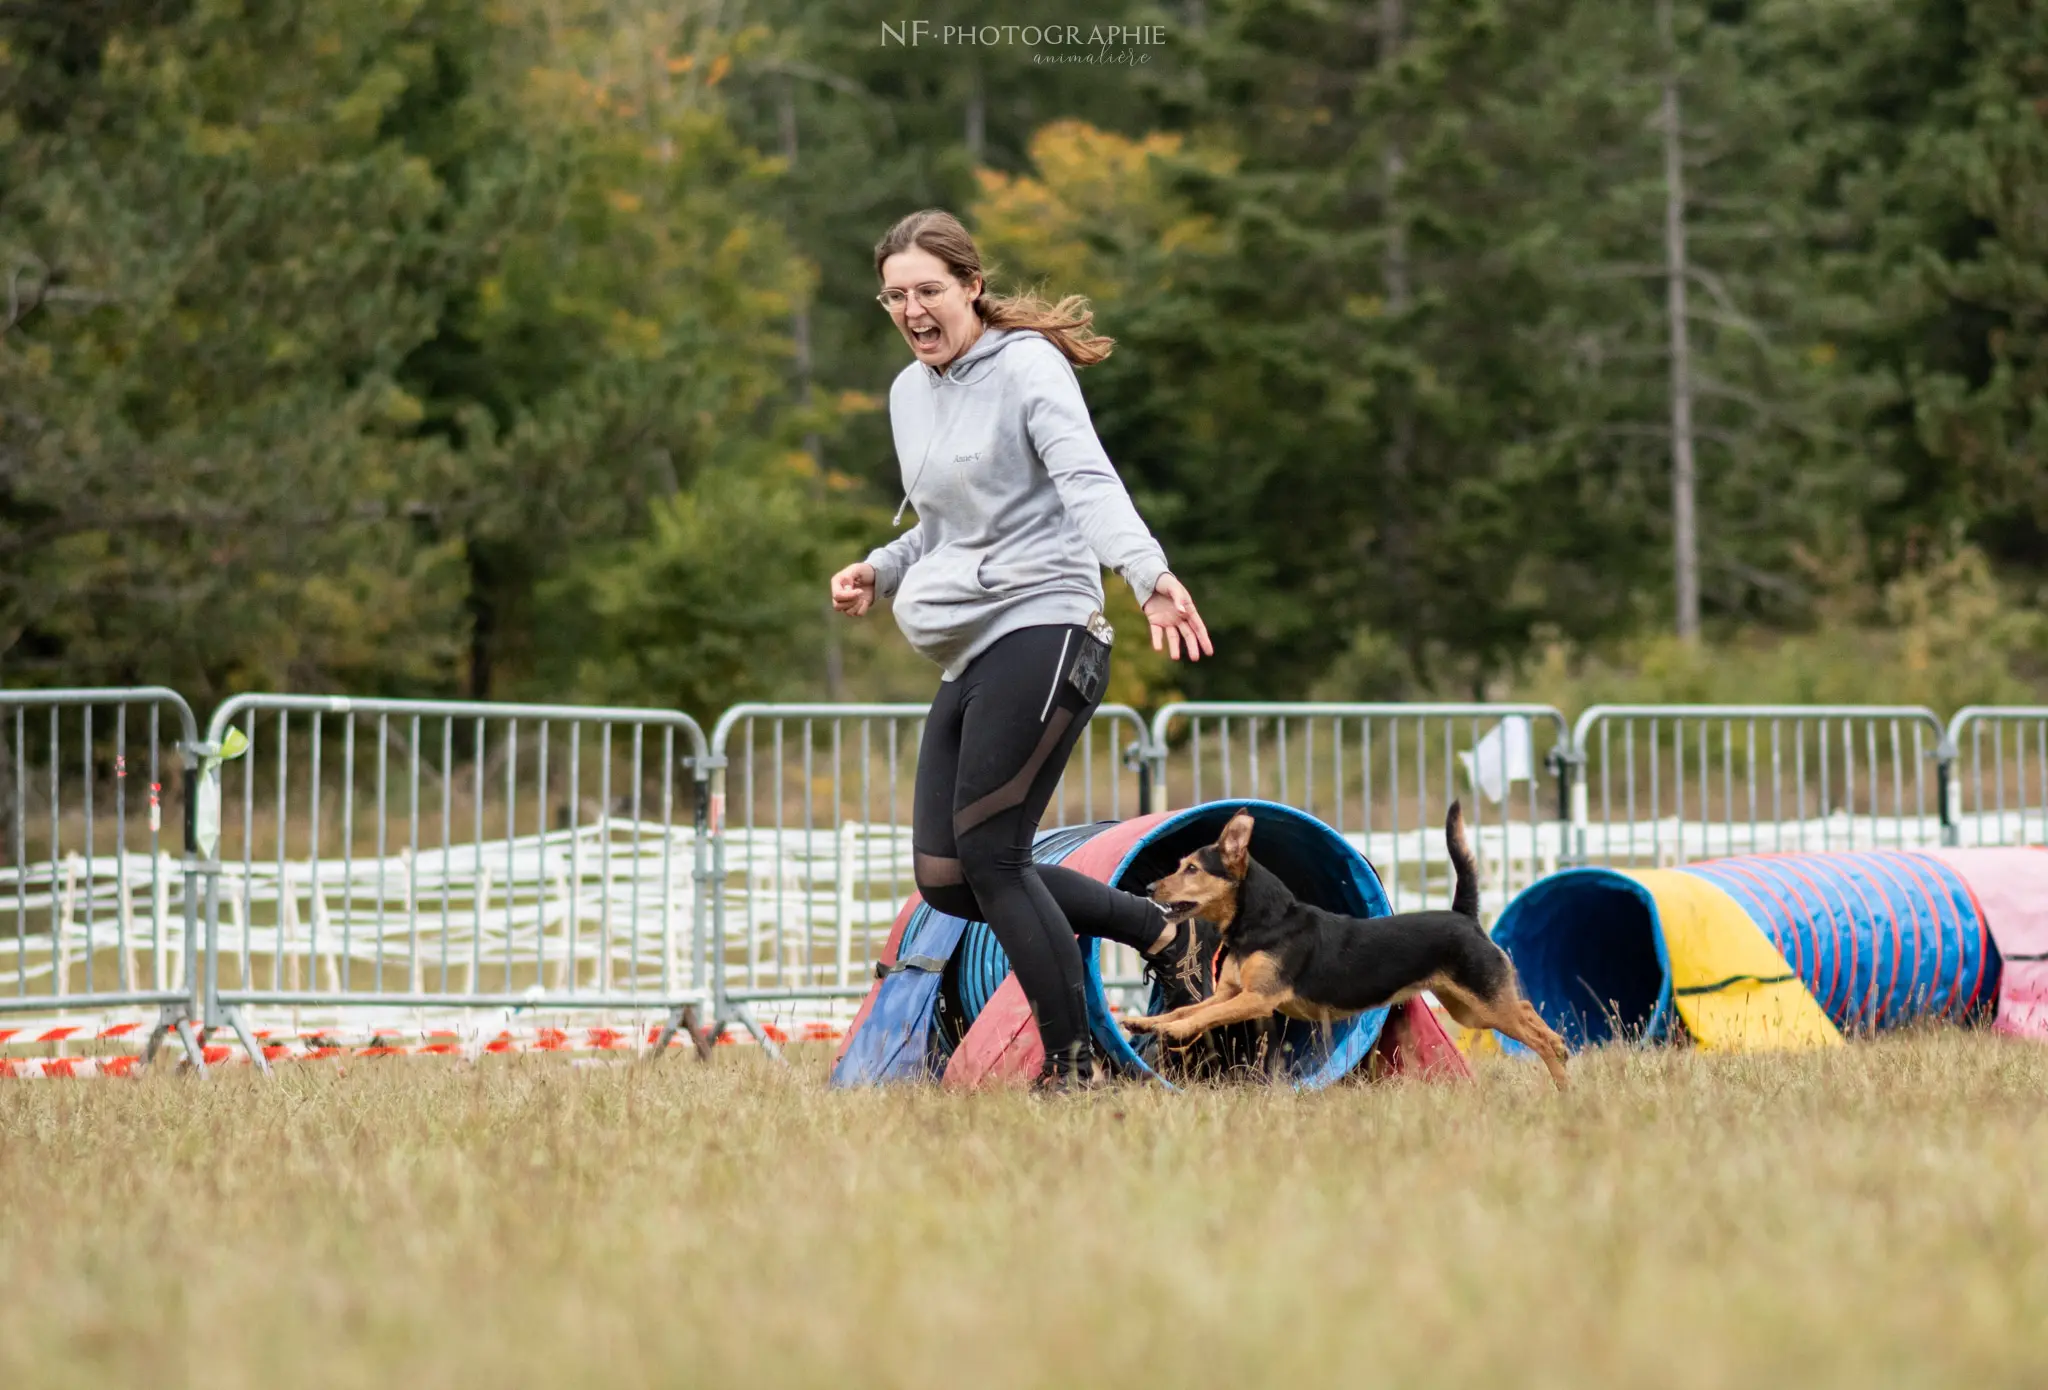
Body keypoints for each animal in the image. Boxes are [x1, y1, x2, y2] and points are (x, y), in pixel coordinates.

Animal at [1130, 806, 1572, 1089]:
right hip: (1470, 1008)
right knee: (1527, 1009)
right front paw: (1147, 1024)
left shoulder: (1259, 998)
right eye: (1178, 865)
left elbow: (1205, 1016)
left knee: (1533, 1034)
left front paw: (1174, 1029)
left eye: (1192, 869)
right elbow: (1191, 1008)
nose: (1148, 888)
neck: (1259, 923)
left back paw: (1562, 1083)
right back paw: (1563, 1049)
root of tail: (1464, 916)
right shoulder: (1232, 993)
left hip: (1481, 1001)